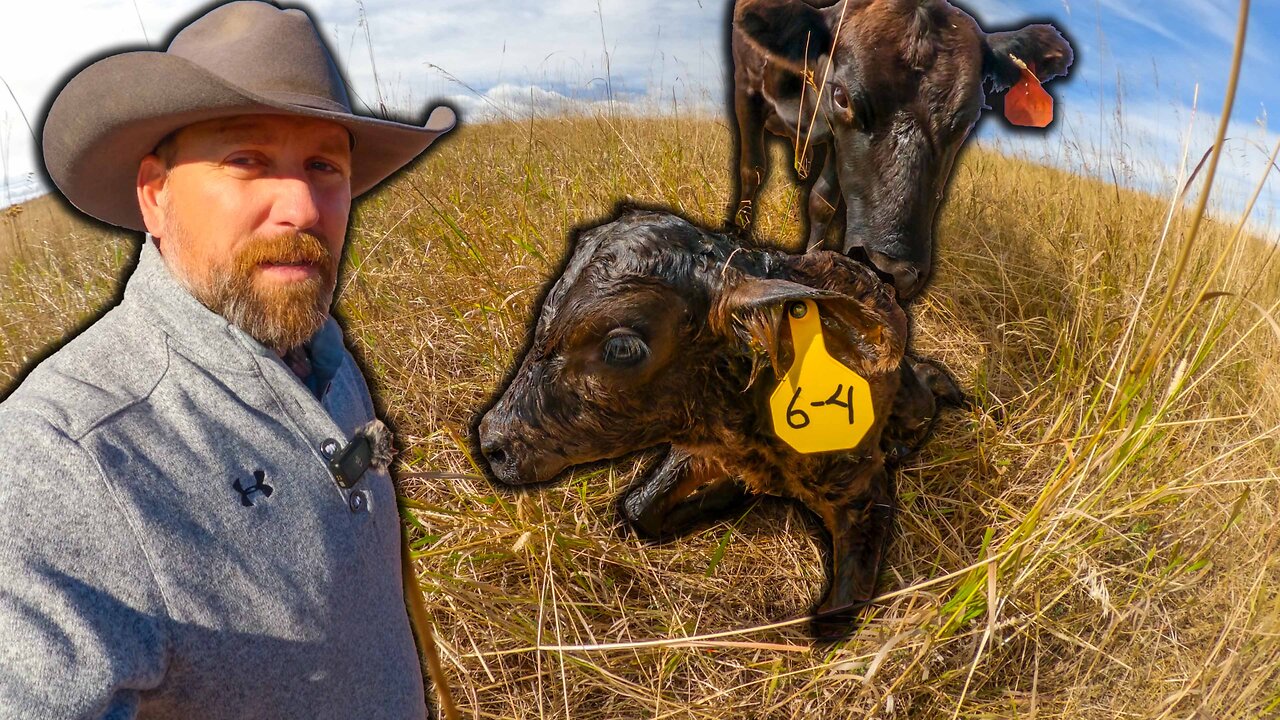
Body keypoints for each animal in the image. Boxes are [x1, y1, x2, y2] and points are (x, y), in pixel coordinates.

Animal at [478, 208, 952, 632]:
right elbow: (639, 508)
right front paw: (724, 500)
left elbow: (833, 618)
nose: (491, 442)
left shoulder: (864, 491)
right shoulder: (706, 448)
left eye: (622, 348)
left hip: (912, 404)